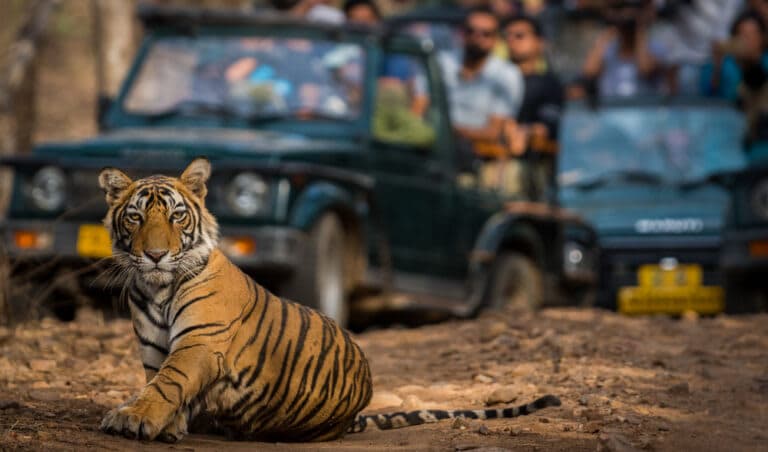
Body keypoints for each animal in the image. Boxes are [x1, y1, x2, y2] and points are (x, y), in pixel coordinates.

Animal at [97, 158, 562, 443]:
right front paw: (163, 424)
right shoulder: (154, 348)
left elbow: (167, 383)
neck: (157, 288)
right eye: (135, 217)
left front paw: (133, 418)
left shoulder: (200, 342)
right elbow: (159, 383)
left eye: (177, 216)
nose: (156, 255)